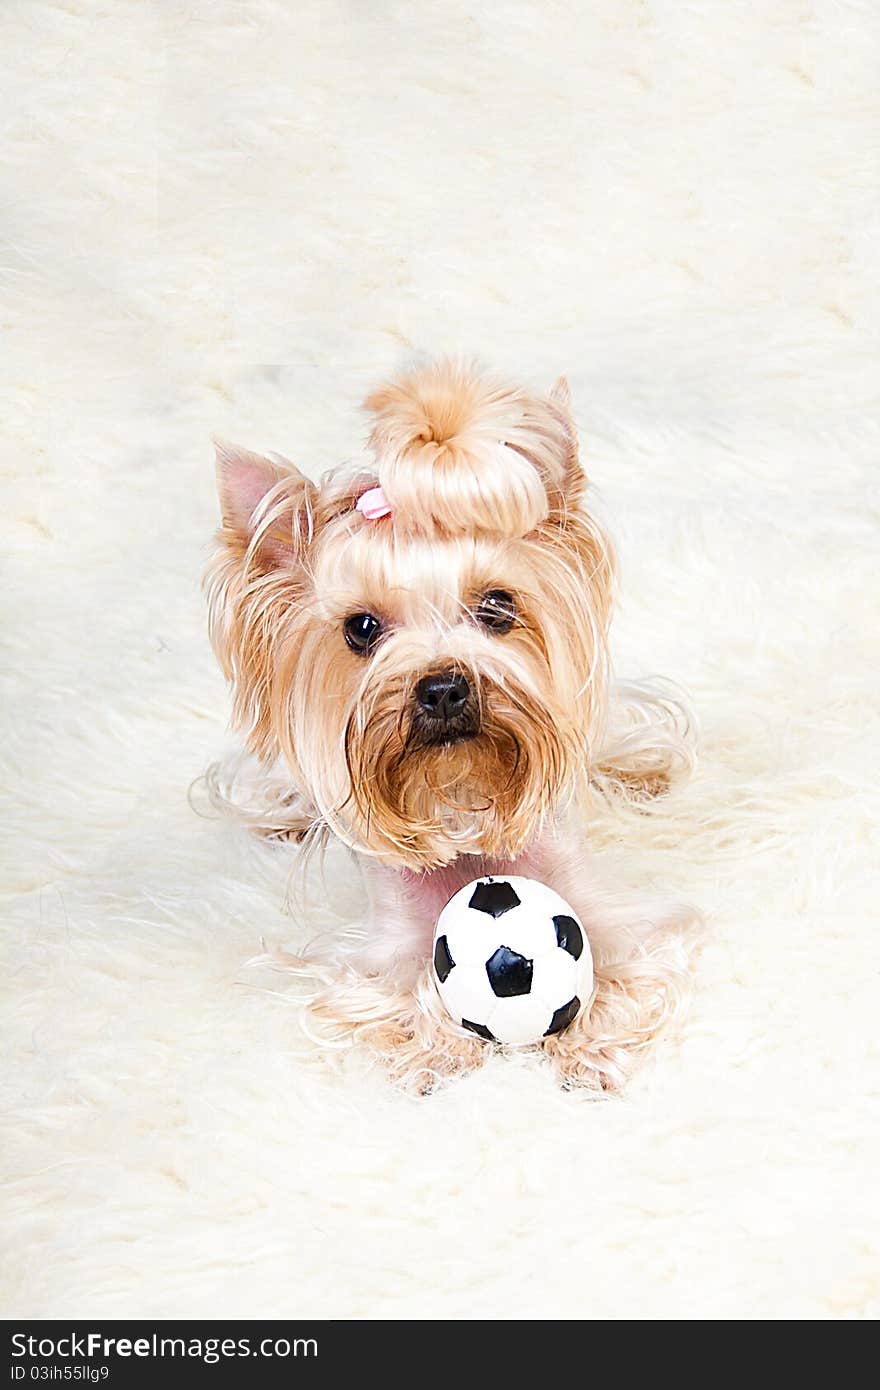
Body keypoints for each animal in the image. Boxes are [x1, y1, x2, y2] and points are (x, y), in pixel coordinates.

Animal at [202, 361, 697, 1095]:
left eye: (497, 606)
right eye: (362, 628)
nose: (442, 687)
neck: (461, 799)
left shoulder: (602, 911)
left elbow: (619, 963)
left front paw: (592, 1050)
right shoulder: (381, 949)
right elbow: (395, 990)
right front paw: (435, 1050)